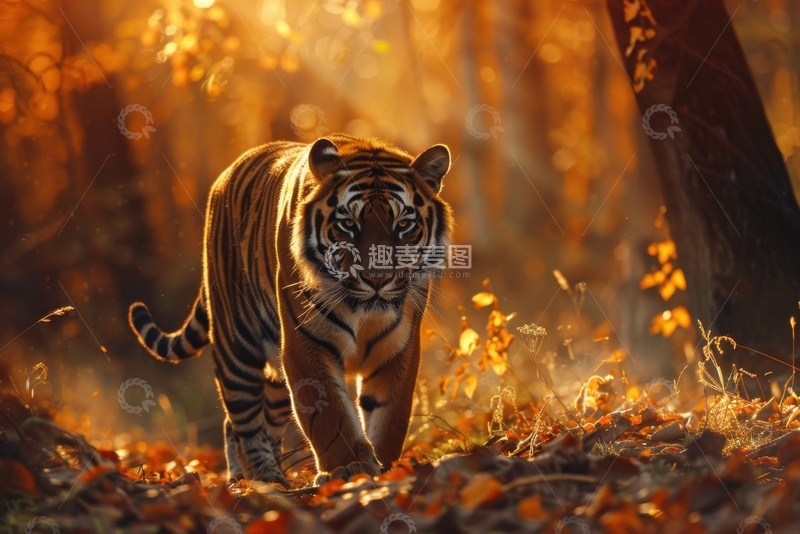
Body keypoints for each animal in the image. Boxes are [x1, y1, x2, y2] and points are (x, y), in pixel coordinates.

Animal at [128, 134, 453, 486]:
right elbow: (329, 413)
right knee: (243, 421)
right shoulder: (305, 342)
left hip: (274, 377)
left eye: (404, 224)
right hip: (236, 347)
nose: (377, 279)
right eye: (348, 224)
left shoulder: (398, 346)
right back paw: (263, 478)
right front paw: (348, 468)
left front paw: (388, 470)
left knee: (253, 422)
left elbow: (391, 416)